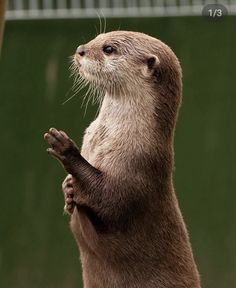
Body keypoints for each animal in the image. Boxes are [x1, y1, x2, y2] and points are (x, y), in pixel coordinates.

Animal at [43, 30, 201, 286]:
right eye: (97, 37)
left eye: (108, 49)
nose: (80, 50)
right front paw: (67, 190)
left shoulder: (140, 162)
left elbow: (110, 199)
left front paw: (66, 149)